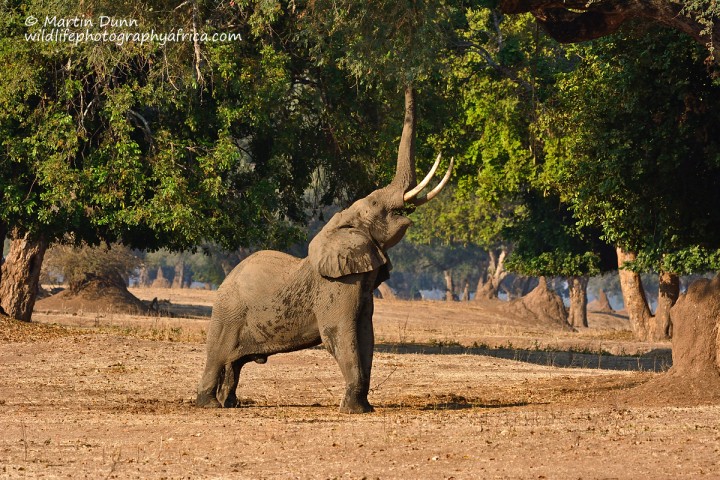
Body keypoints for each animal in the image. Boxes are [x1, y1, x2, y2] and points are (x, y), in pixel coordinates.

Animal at [194, 88, 452, 414]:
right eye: (375, 205)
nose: (408, 84)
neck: (338, 226)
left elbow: (365, 335)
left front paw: (364, 408)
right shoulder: (336, 285)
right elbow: (340, 333)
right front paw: (353, 411)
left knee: (234, 365)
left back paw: (230, 404)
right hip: (227, 313)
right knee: (217, 356)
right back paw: (208, 405)